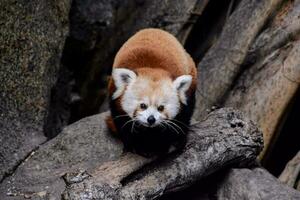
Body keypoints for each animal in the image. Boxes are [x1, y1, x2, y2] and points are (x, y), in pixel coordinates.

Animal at [107, 28, 197, 156]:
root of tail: (154, 29)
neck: (152, 68)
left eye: (161, 107)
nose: (151, 119)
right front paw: (135, 146)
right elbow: (124, 124)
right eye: (142, 105)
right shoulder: (115, 99)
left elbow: (179, 121)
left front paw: (165, 144)